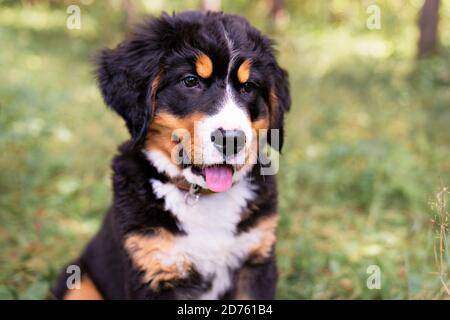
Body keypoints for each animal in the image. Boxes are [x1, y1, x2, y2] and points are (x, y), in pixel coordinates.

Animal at [53, 10, 292, 300]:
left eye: (248, 87)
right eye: (190, 81)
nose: (232, 139)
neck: (201, 197)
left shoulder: (255, 261)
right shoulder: (155, 268)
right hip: (80, 284)